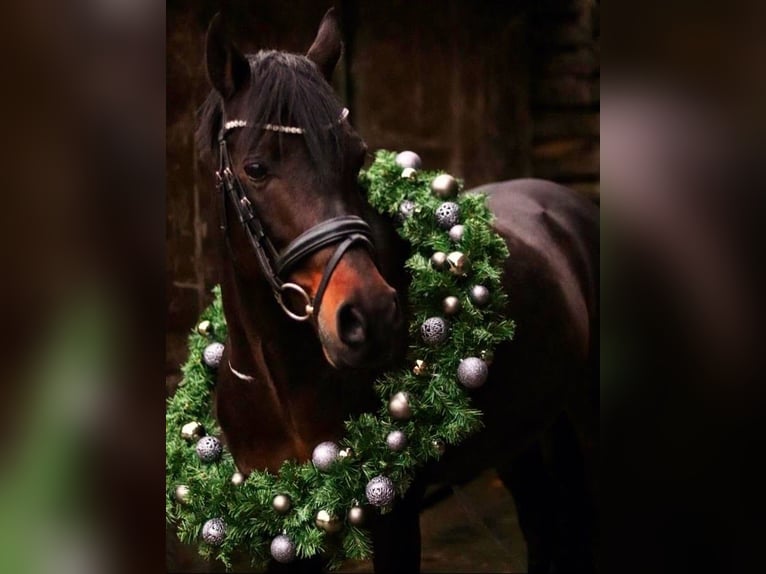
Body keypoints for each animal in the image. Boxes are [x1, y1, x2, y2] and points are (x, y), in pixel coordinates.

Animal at [194, 9, 600, 574]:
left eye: (356, 157)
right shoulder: (282, 526)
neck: (281, 381)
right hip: (521, 436)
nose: (373, 317)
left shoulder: (395, 517)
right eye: (255, 168)